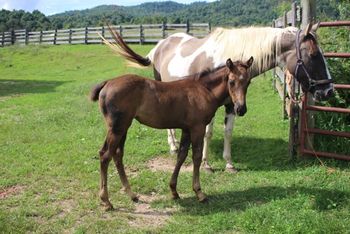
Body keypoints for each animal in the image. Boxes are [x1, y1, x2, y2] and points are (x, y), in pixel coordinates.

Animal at [91, 56, 253, 210]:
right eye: (231, 81)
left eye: (248, 82)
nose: (241, 109)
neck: (204, 90)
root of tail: (107, 83)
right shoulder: (198, 128)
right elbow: (196, 157)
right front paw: (199, 192)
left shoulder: (186, 129)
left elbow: (181, 155)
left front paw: (174, 191)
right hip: (118, 128)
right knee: (105, 156)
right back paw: (106, 201)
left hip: (122, 127)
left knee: (117, 155)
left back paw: (132, 195)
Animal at [103, 22, 334, 173]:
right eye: (314, 55)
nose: (329, 90)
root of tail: (160, 46)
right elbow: (208, 132)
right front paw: (206, 164)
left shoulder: (232, 104)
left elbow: (228, 132)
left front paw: (229, 163)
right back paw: (173, 146)